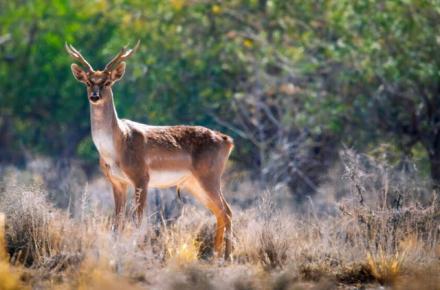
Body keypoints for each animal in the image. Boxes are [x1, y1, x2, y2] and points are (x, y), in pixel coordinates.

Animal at [65, 40, 234, 258]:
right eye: (88, 82)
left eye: (108, 82)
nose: (94, 96)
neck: (117, 145)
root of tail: (227, 140)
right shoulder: (117, 182)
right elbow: (117, 222)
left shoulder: (141, 178)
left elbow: (138, 221)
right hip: (193, 183)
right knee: (221, 212)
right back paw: (217, 255)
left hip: (209, 177)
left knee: (226, 211)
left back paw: (226, 256)